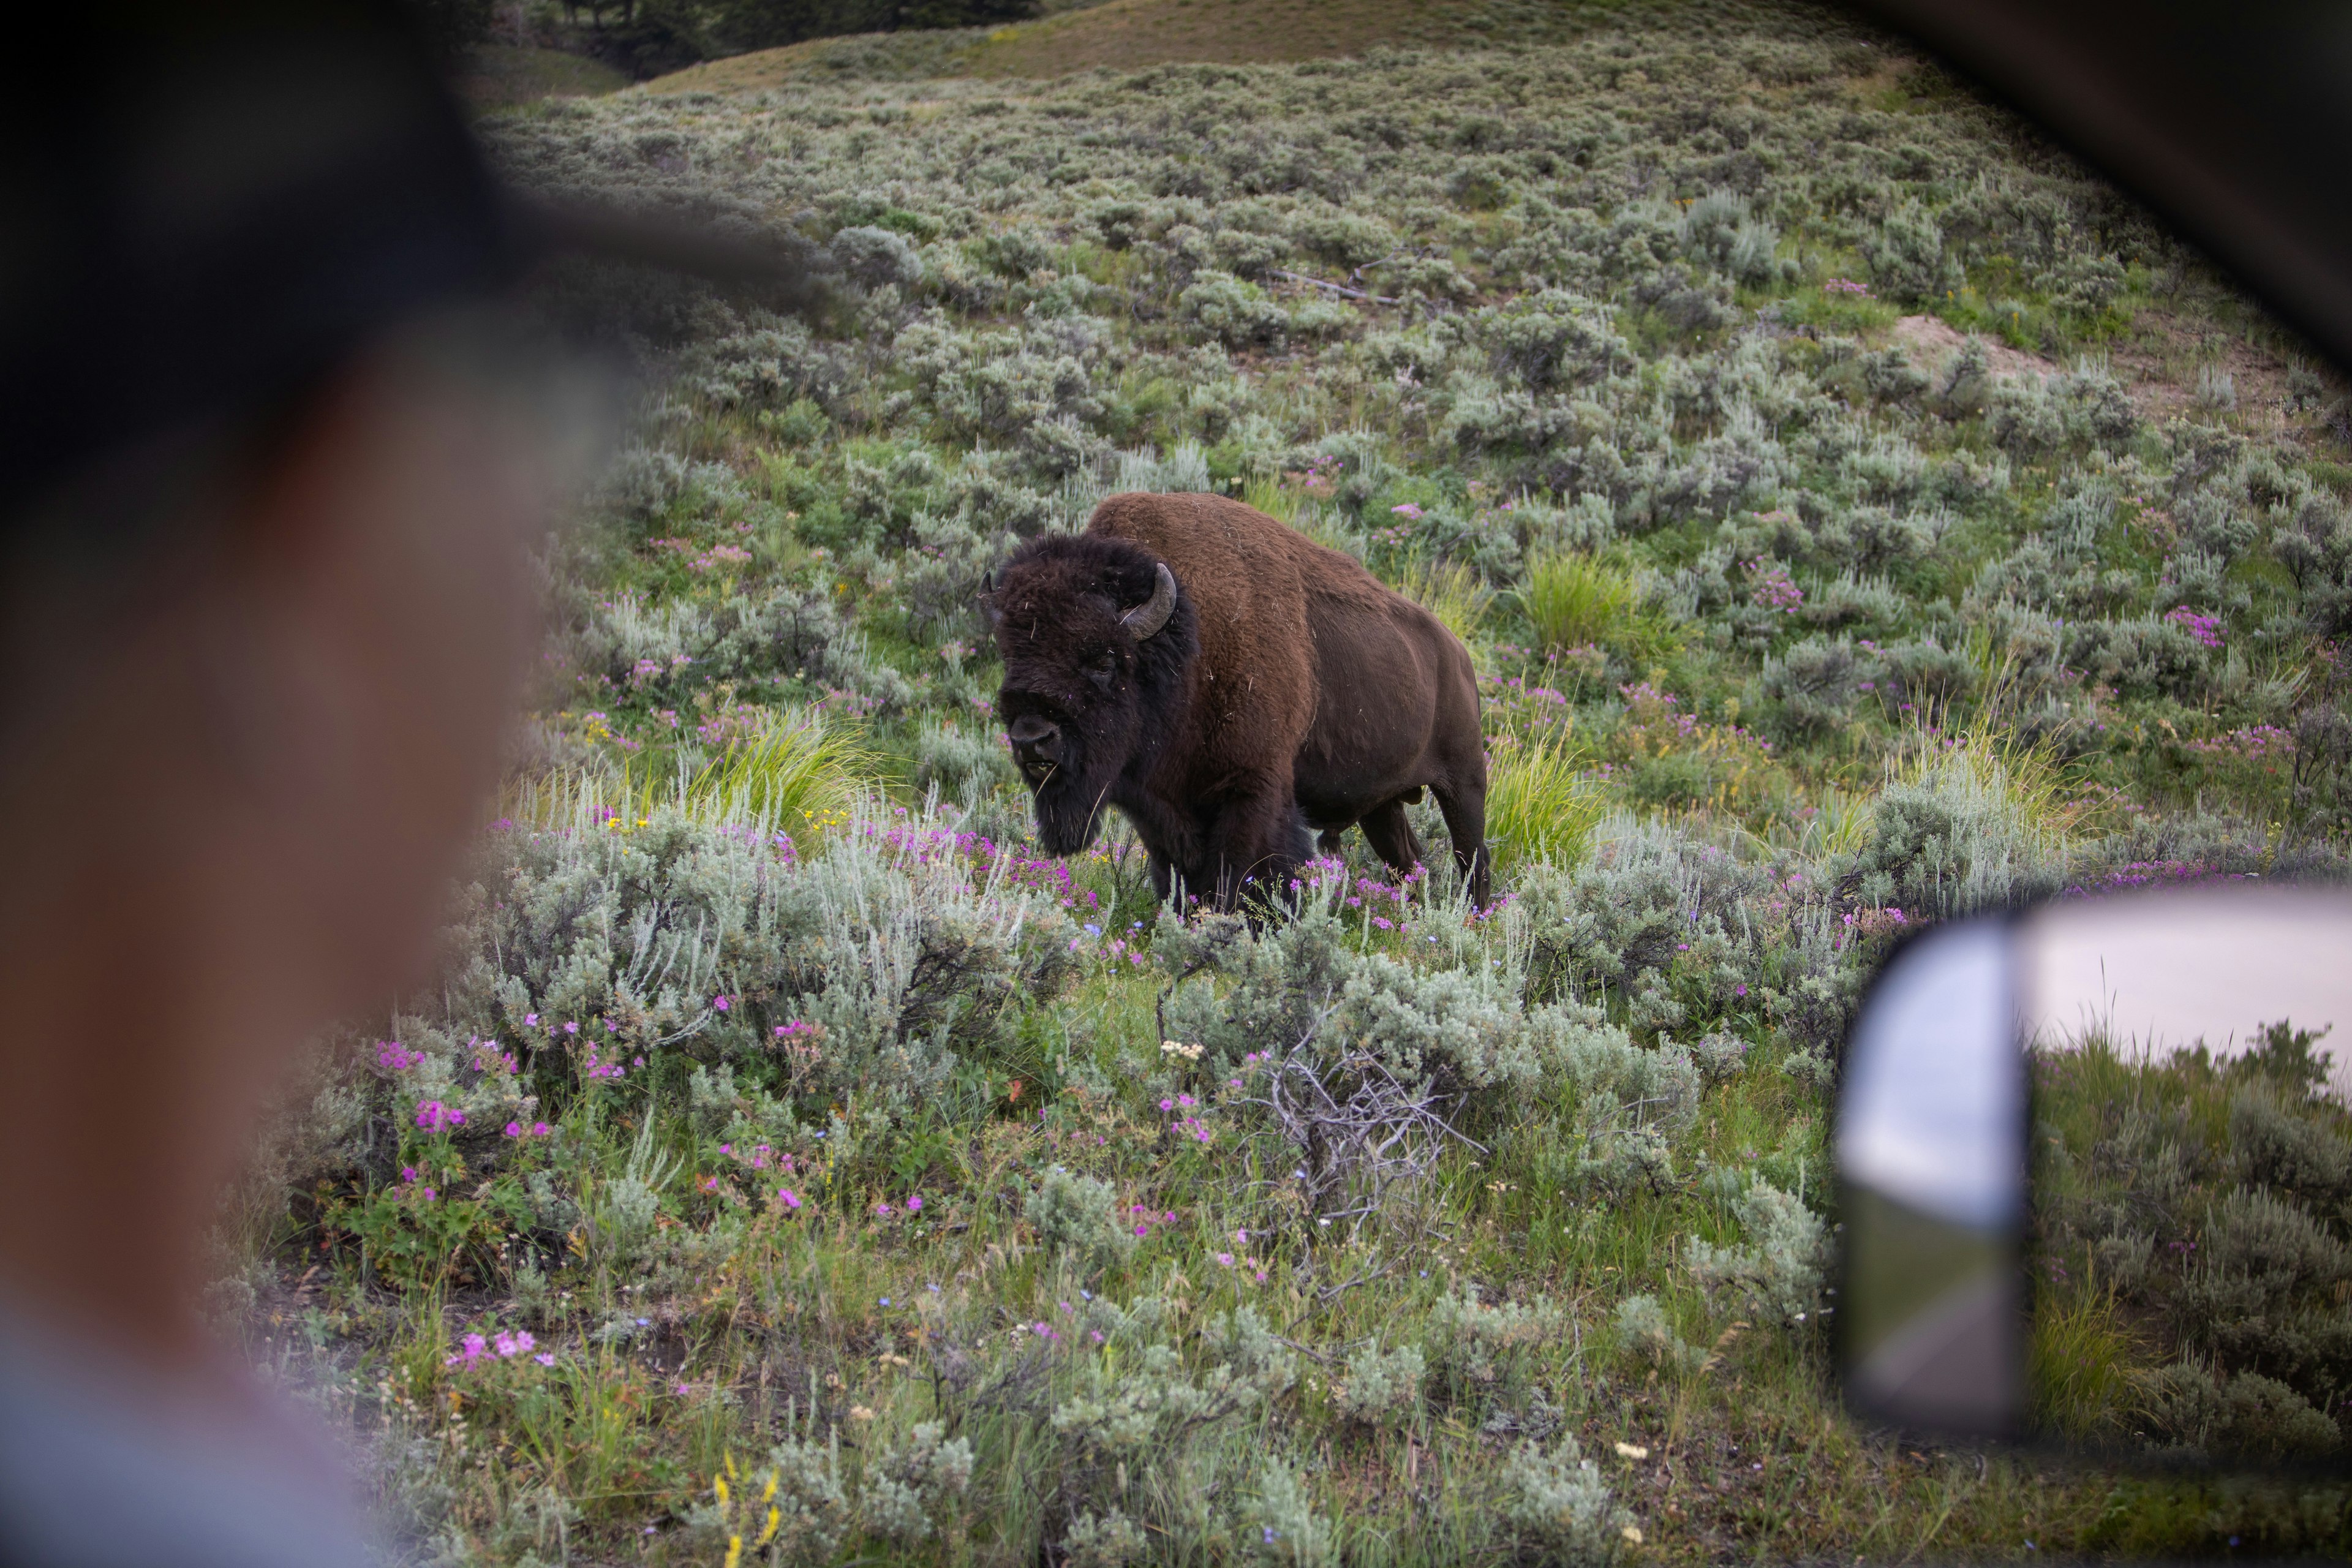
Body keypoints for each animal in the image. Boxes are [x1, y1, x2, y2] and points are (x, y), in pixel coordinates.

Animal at [992, 491, 1486, 907]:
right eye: (1012, 653)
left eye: (1104, 659)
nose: (1032, 739)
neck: (1187, 641)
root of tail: (1459, 655)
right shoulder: (1161, 812)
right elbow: (1175, 877)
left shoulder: (1251, 788)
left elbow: (1234, 877)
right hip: (1382, 806)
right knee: (1407, 860)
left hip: (1464, 784)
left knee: (1473, 859)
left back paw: (1472, 919)